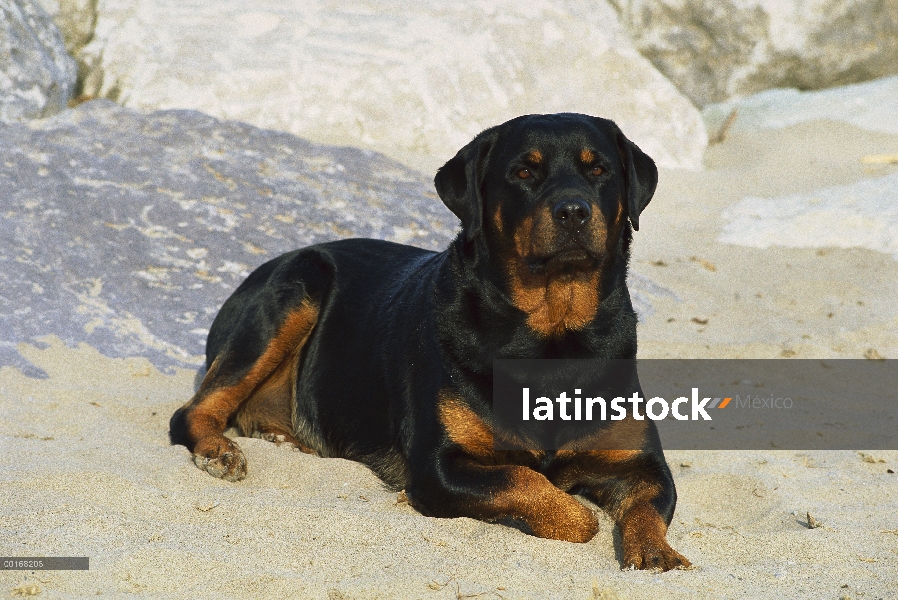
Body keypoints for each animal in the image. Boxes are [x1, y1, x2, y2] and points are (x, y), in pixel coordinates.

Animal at [170, 113, 688, 572]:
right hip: (297, 286)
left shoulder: (641, 464)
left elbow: (651, 501)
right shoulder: (438, 468)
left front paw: (656, 553)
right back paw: (218, 452)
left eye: (598, 169)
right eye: (524, 172)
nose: (574, 211)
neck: (553, 333)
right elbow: (529, 482)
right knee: (193, 410)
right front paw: (574, 512)